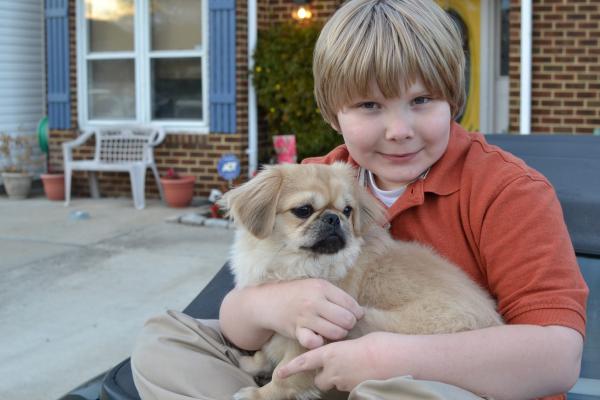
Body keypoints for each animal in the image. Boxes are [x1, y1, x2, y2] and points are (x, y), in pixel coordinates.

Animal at [219, 163, 502, 400]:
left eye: (347, 210)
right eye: (303, 210)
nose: (334, 218)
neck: (295, 262)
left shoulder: (308, 341)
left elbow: (286, 375)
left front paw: (258, 395)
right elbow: (265, 350)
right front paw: (251, 364)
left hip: (366, 321)